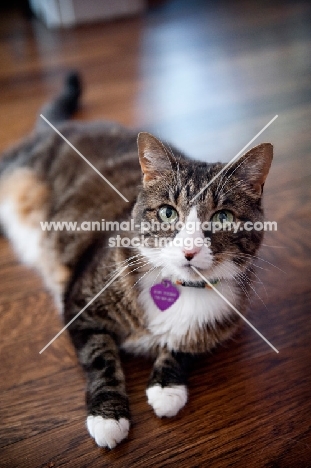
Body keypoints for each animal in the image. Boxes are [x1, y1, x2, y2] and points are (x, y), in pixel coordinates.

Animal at [0, 74, 272, 450]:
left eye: (223, 218)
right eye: (168, 212)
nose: (189, 250)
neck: (180, 289)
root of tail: (61, 128)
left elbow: (184, 348)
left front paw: (167, 388)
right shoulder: (80, 303)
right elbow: (101, 358)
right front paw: (109, 417)